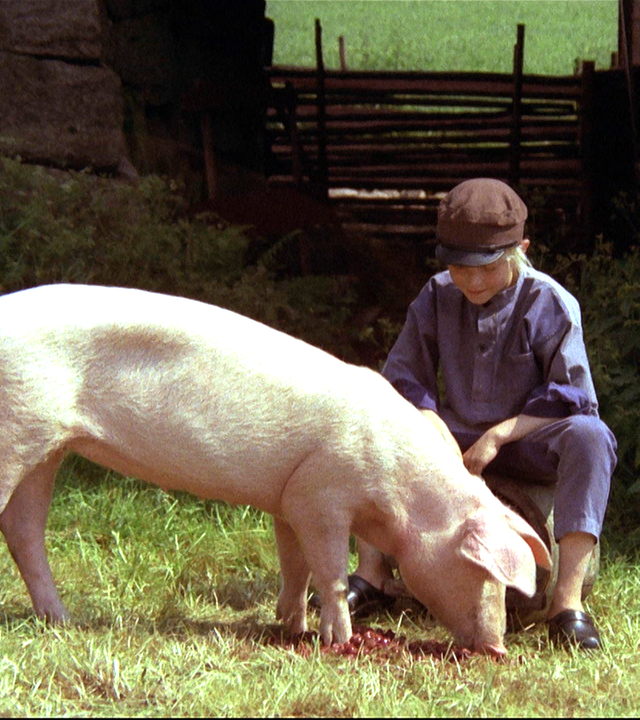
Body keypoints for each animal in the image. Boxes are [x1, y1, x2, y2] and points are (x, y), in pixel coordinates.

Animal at [0, 284, 551, 655]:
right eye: (483, 572)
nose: (498, 649)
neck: (400, 492)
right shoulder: (323, 495)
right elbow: (330, 570)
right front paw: (337, 642)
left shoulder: (291, 498)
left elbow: (295, 565)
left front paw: (291, 628)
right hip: (16, 430)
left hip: (47, 449)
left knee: (24, 529)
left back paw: (63, 621)